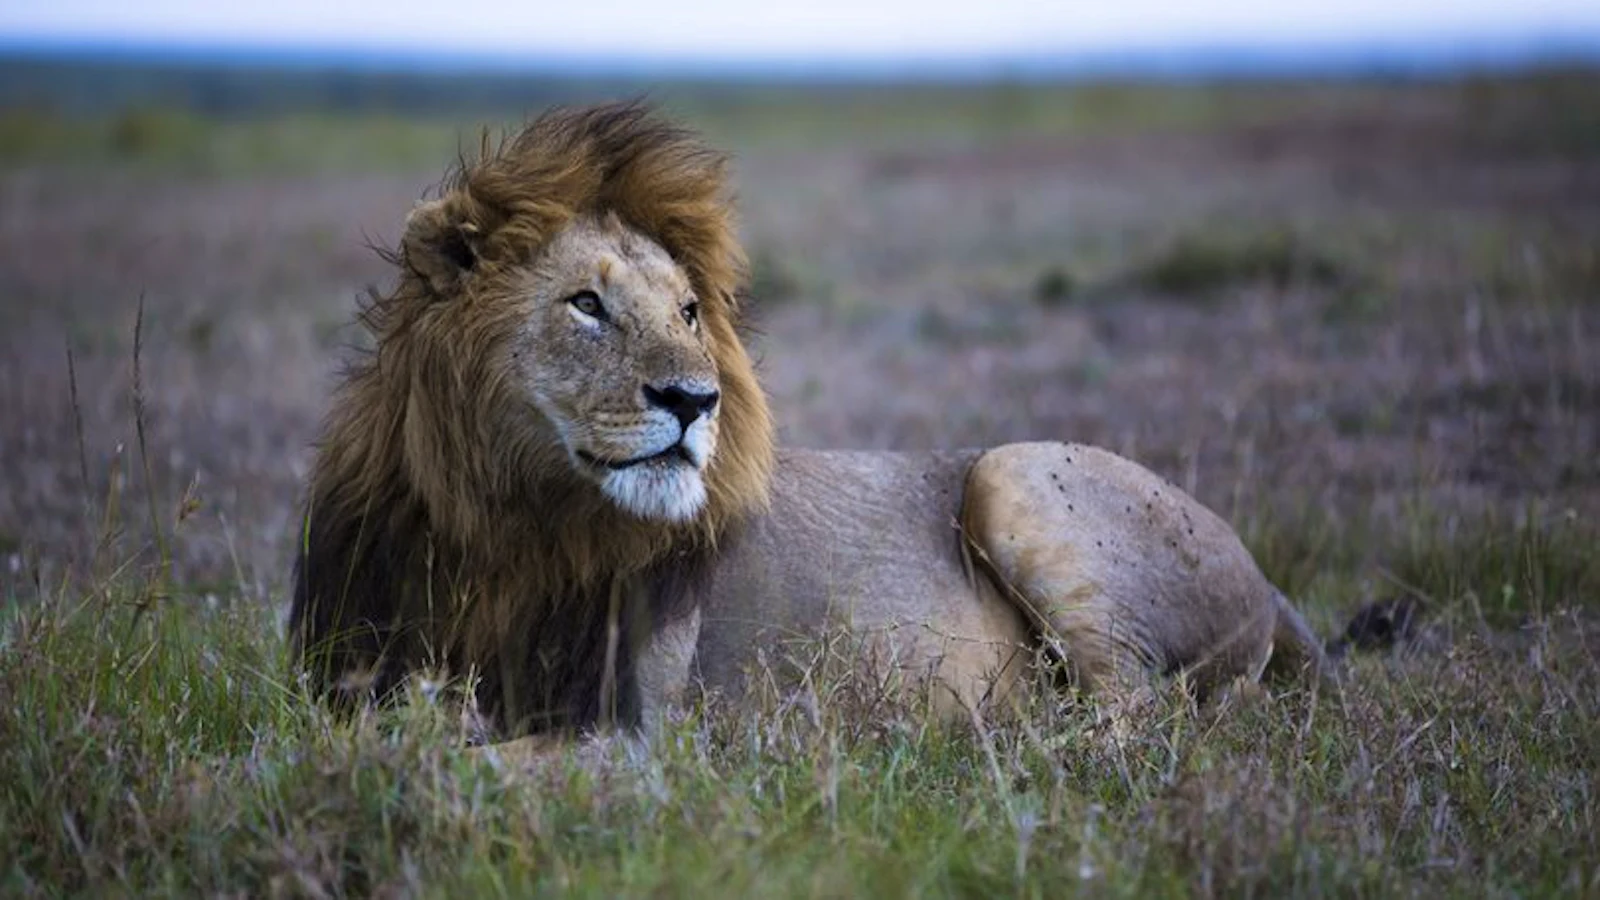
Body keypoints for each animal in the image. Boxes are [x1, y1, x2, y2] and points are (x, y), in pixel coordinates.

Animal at [290, 103, 1332, 746]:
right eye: (586, 304)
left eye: (689, 314)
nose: (695, 400)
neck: (500, 531)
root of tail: (1271, 581)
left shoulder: (628, 740)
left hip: (1014, 475)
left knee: (1146, 717)